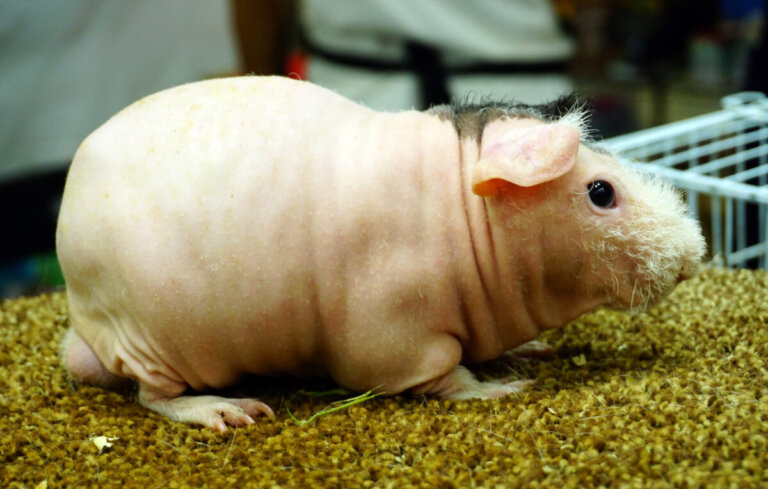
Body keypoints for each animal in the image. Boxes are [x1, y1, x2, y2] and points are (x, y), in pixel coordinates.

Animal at [57, 76, 705, 431]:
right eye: (601, 192)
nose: (693, 256)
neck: (467, 218)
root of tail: (85, 326)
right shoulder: (399, 340)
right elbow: (445, 377)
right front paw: (502, 389)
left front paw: (528, 353)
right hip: (154, 346)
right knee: (153, 396)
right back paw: (226, 411)